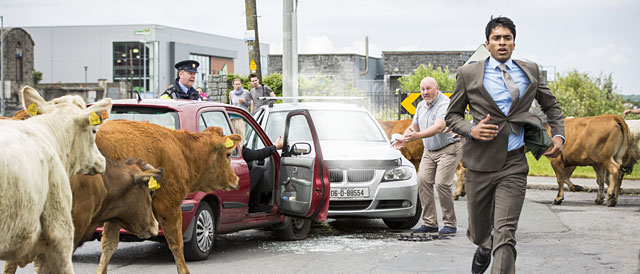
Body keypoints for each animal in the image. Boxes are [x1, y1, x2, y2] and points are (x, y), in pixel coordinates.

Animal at [95, 119, 242, 274]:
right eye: (228, 155)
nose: (236, 179)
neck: (181, 151)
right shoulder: (169, 206)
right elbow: (176, 243)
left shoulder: (116, 214)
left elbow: (109, 246)